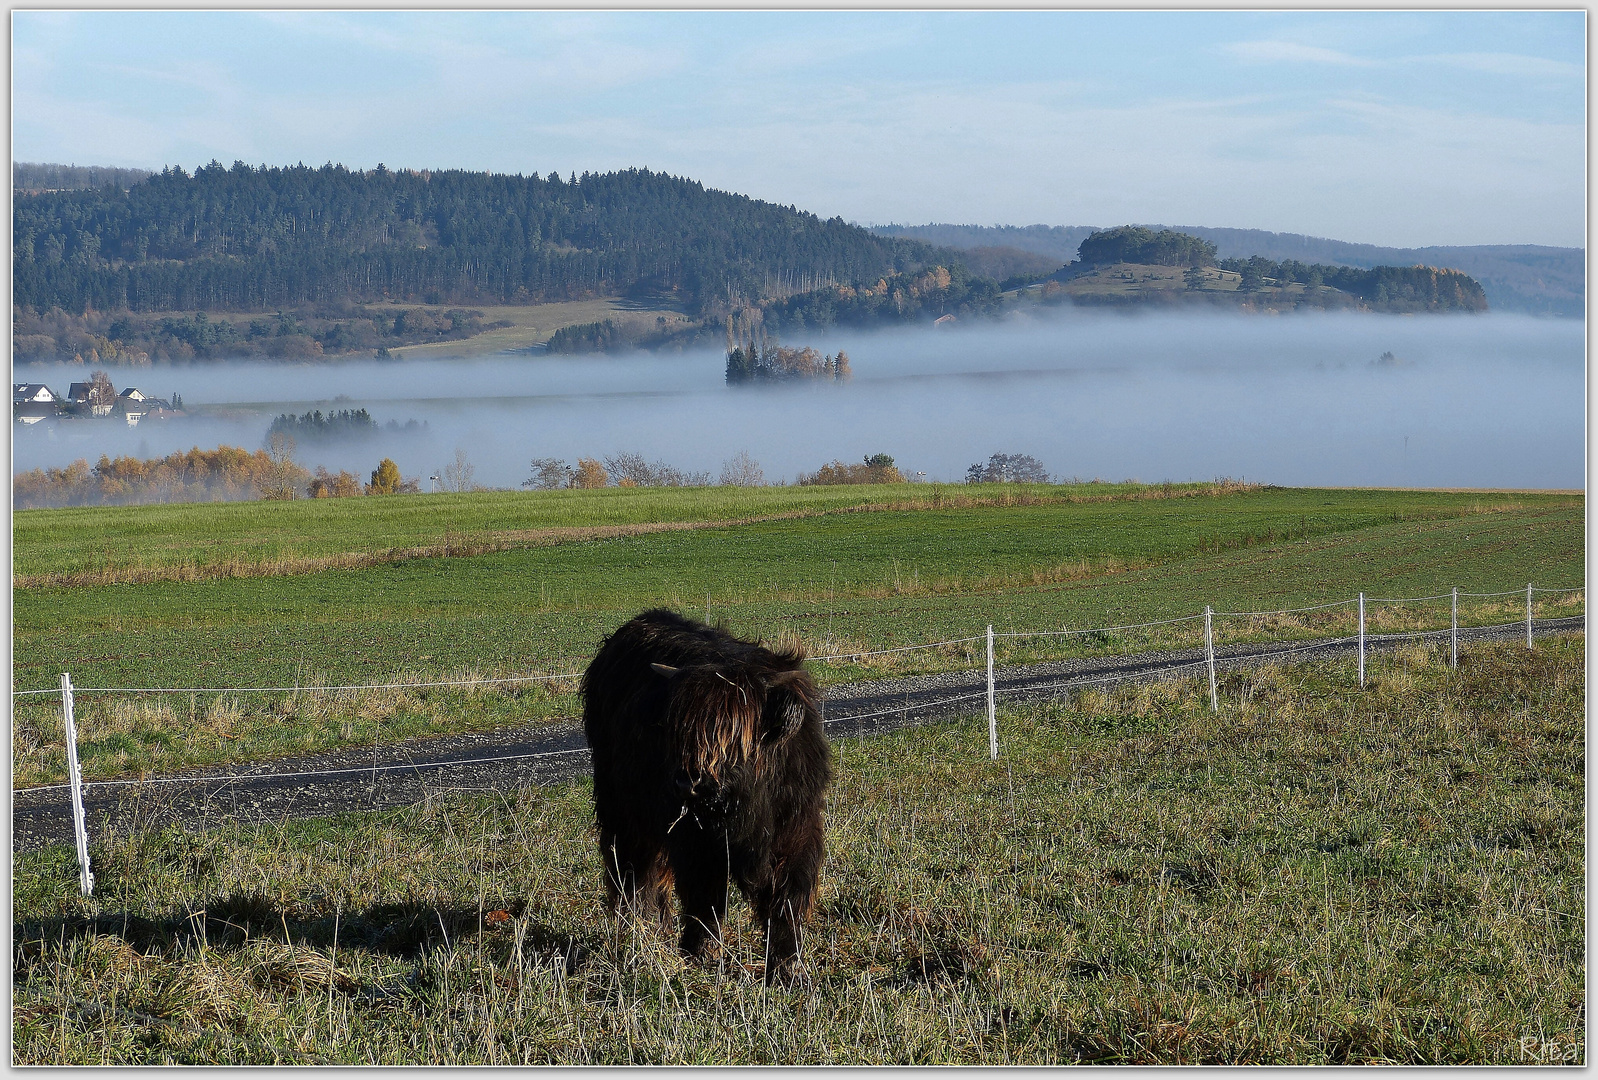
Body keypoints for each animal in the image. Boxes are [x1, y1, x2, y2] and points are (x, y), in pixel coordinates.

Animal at [588, 607, 837, 977]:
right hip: (622, 813)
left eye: (732, 736)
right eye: (679, 730)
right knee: (633, 874)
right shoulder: (696, 844)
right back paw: (638, 927)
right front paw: (700, 955)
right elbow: (705, 902)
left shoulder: (797, 834)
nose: (688, 783)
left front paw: (787, 966)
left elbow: (787, 903)